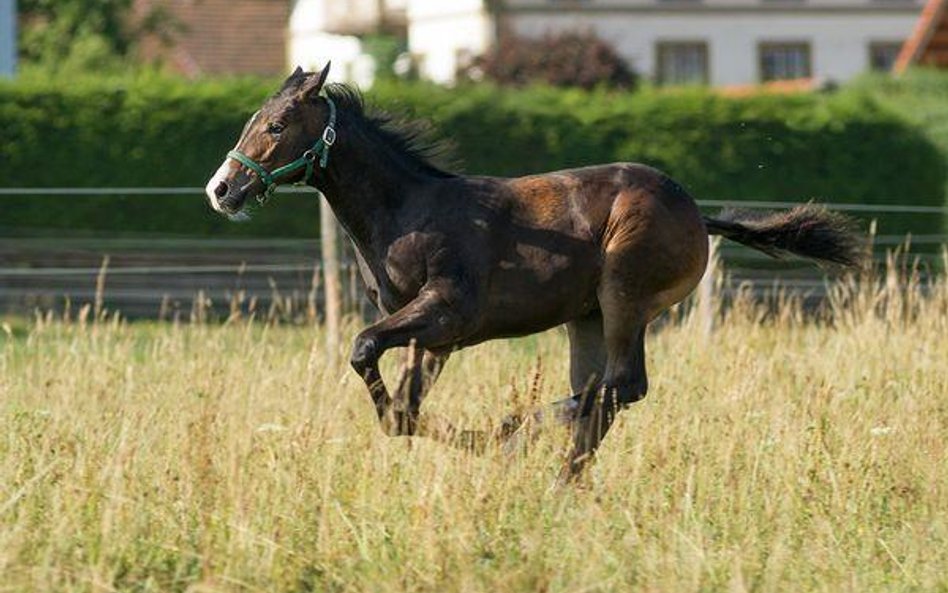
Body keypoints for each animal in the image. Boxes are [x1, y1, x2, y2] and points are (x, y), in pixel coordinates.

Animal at [206, 63, 868, 480]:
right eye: (252, 120)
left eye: (275, 126)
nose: (221, 189)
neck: (407, 210)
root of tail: (697, 212)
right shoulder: (433, 336)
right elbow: (402, 414)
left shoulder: (444, 311)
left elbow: (364, 348)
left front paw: (489, 439)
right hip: (588, 318)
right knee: (600, 397)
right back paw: (556, 482)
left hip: (624, 297)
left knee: (620, 387)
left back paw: (517, 433)